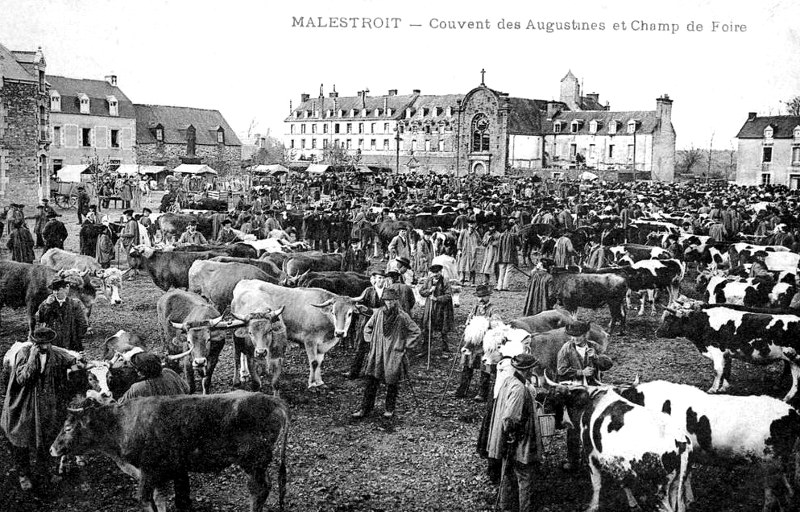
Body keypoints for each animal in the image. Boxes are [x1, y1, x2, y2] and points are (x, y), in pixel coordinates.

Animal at [50, 390, 290, 510]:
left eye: (68, 427)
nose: (52, 449)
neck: (121, 424)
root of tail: (271, 399)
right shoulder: (157, 474)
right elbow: (160, 499)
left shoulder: (148, 472)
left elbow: (146, 500)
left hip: (253, 462)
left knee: (259, 491)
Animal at [231, 280, 368, 388]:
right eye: (333, 312)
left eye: (350, 313)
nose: (339, 333)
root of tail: (244, 281)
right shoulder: (310, 340)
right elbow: (313, 362)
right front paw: (312, 384)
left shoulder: (322, 345)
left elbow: (319, 362)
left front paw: (319, 381)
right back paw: (243, 374)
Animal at [620, 380, 800, 512]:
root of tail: (792, 412)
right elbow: (686, 476)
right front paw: (690, 500)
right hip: (775, 464)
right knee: (786, 489)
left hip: (769, 463)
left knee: (775, 496)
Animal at [656, 302, 800, 402]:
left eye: (669, 319)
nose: (657, 332)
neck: (703, 322)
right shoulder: (726, 353)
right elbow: (726, 370)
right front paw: (724, 387)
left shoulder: (716, 351)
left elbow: (718, 371)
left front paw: (713, 389)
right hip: (792, 360)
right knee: (796, 379)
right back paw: (787, 397)